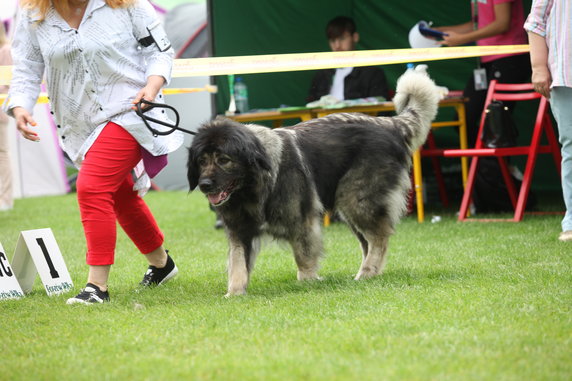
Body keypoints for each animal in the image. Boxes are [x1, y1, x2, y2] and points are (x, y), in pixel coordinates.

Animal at [187, 67, 438, 294]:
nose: (205, 185)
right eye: (201, 161)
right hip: (348, 206)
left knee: (378, 237)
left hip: (357, 200)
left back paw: (365, 273)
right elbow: (238, 264)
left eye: (223, 160)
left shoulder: (301, 222)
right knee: (368, 241)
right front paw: (234, 293)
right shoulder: (239, 231)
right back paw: (371, 273)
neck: (253, 188)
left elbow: (303, 255)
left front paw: (308, 281)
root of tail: (390, 125)